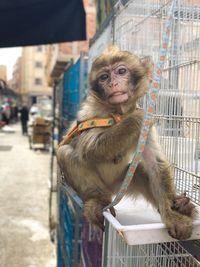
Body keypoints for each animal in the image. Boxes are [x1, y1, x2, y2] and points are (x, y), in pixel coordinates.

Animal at [56, 45, 195, 241]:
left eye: (121, 71)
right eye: (104, 77)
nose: (113, 84)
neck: (118, 113)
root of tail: (110, 190)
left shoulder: (146, 132)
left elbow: (155, 163)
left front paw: (173, 216)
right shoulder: (91, 113)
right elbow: (89, 148)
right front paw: (138, 116)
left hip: (121, 182)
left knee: (140, 170)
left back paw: (180, 206)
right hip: (100, 188)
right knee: (66, 153)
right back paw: (97, 202)